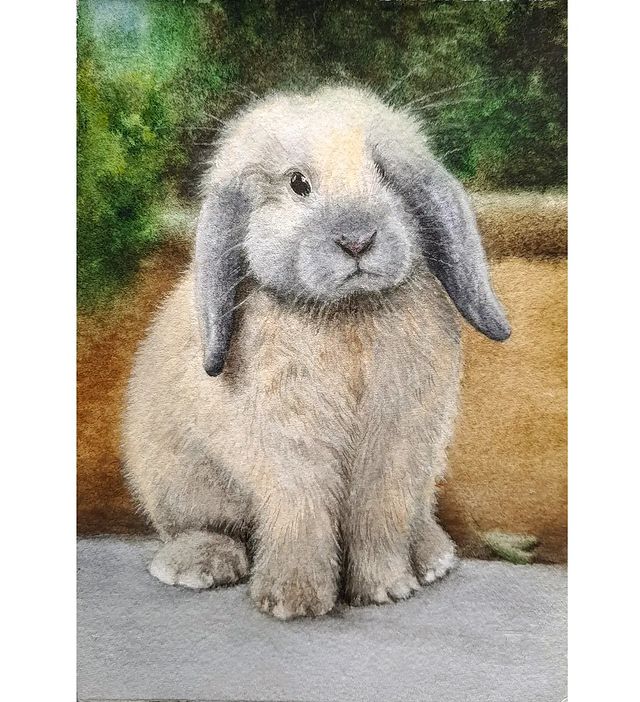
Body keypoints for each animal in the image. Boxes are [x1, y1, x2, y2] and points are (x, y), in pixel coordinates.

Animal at [122, 85, 510, 620]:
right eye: (298, 183)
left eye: (384, 173)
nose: (357, 240)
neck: (348, 315)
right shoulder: (289, 447)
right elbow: (300, 512)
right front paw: (293, 601)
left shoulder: (397, 444)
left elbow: (379, 515)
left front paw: (387, 588)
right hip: (179, 482)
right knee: (207, 528)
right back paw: (199, 565)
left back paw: (431, 557)